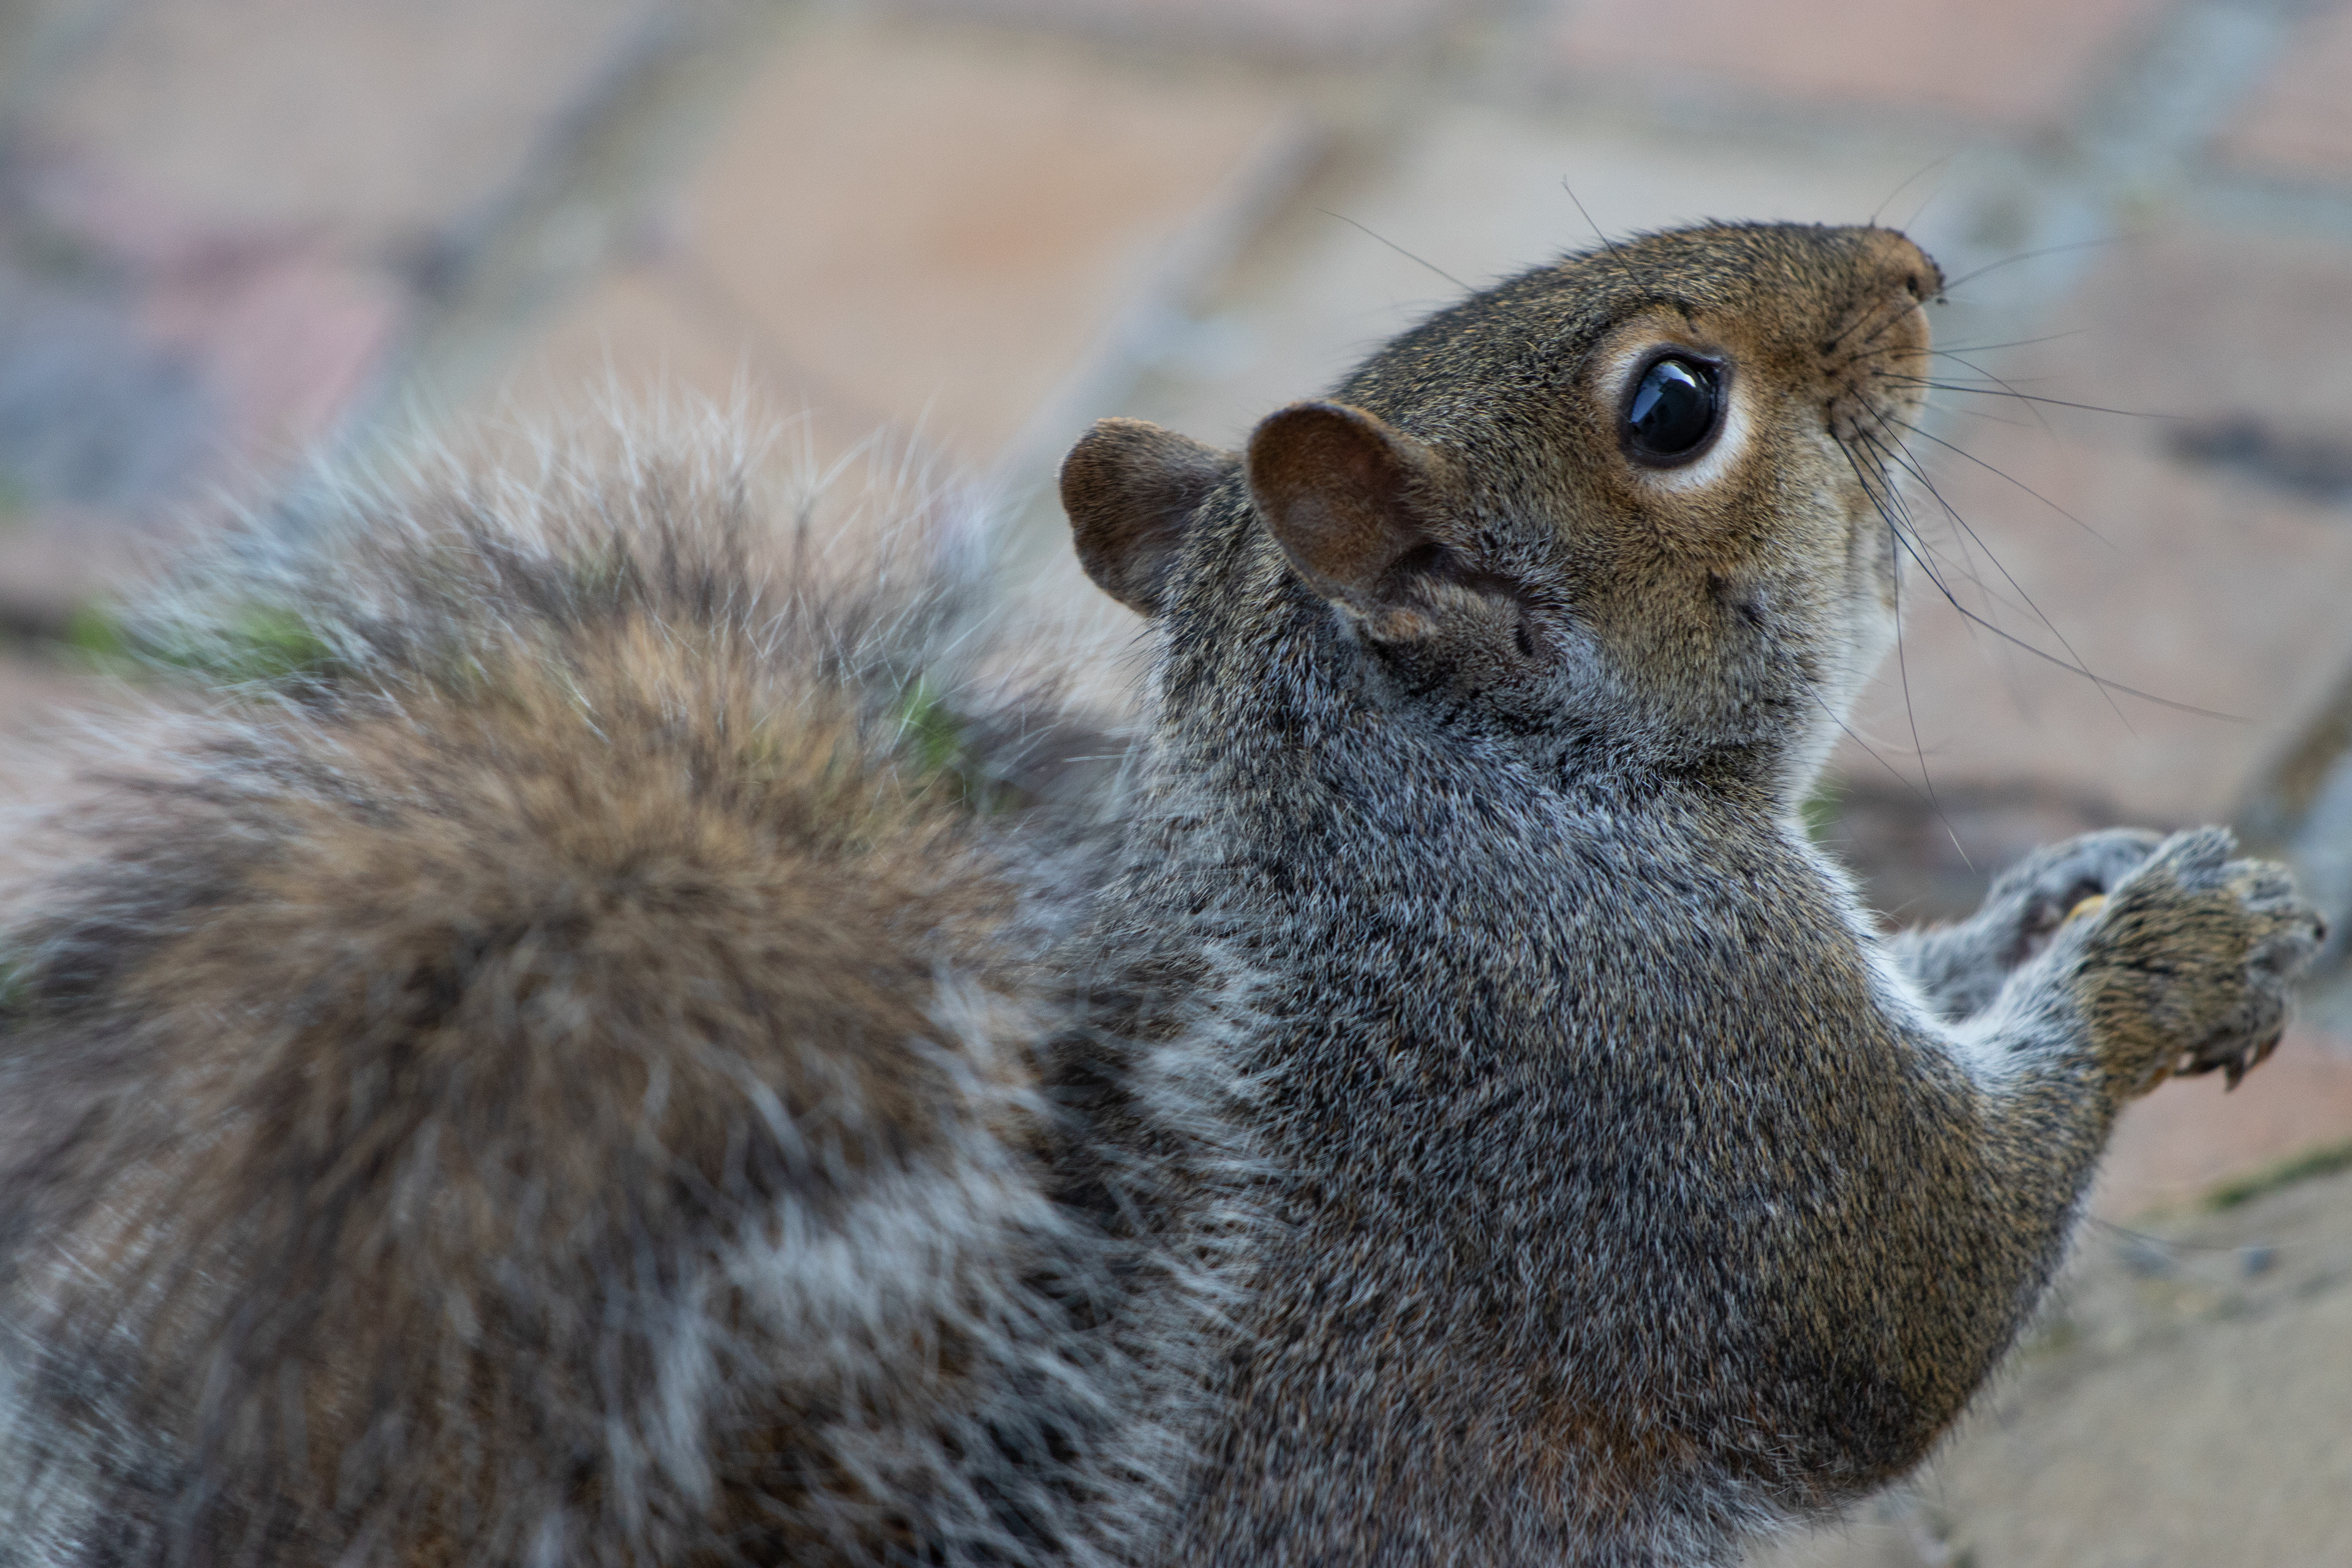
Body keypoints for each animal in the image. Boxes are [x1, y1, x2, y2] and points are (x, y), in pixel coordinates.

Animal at [0, 222, 2324, 1567]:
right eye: (1675, 406)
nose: (1916, 267)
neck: (1471, 799)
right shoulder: (1651, 1061)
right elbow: (1900, 1312)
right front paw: (2156, 957)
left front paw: (2074, 890)